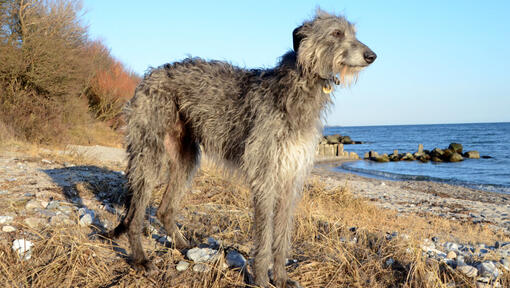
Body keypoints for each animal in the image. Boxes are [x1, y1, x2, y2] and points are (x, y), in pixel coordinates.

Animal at [108, 9, 374, 288]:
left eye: (353, 33)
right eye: (336, 33)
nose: (372, 56)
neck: (298, 85)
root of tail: (149, 76)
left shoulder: (290, 176)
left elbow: (282, 235)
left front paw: (281, 278)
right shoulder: (265, 175)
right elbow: (265, 236)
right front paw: (261, 279)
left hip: (185, 157)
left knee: (164, 210)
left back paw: (183, 245)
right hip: (150, 151)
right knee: (135, 216)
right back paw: (140, 259)